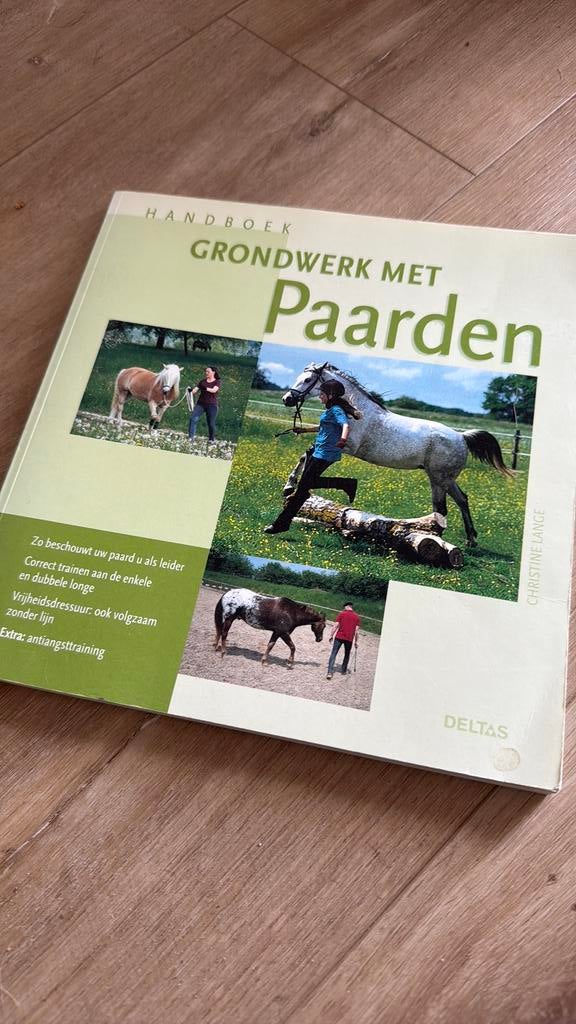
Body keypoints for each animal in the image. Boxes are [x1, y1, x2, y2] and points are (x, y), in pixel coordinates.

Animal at [282, 362, 513, 546]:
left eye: (308, 379)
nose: (287, 399)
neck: (354, 411)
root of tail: (462, 437)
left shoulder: (345, 446)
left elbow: (311, 455)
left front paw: (291, 487)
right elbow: (307, 454)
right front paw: (290, 487)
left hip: (439, 480)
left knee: (442, 508)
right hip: (445, 479)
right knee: (462, 500)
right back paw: (470, 539)